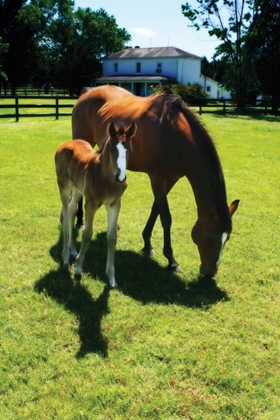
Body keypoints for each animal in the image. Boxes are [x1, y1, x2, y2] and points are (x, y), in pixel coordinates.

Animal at [55, 120, 137, 288]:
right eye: (112, 149)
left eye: (130, 150)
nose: (121, 178)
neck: (107, 179)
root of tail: (66, 143)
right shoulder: (91, 204)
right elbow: (87, 234)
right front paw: (78, 268)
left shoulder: (114, 205)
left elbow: (112, 237)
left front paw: (111, 278)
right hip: (64, 186)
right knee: (65, 214)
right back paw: (66, 258)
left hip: (77, 189)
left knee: (72, 210)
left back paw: (73, 250)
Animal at [71, 85, 238, 278]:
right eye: (211, 236)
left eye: (227, 238)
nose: (210, 272)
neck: (173, 136)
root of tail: (86, 93)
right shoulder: (157, 177)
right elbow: (165, 217)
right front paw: (171, 260)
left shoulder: (171, 179)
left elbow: (156, 209)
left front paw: (147, 244)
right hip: (83, 142)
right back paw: (80, 220)